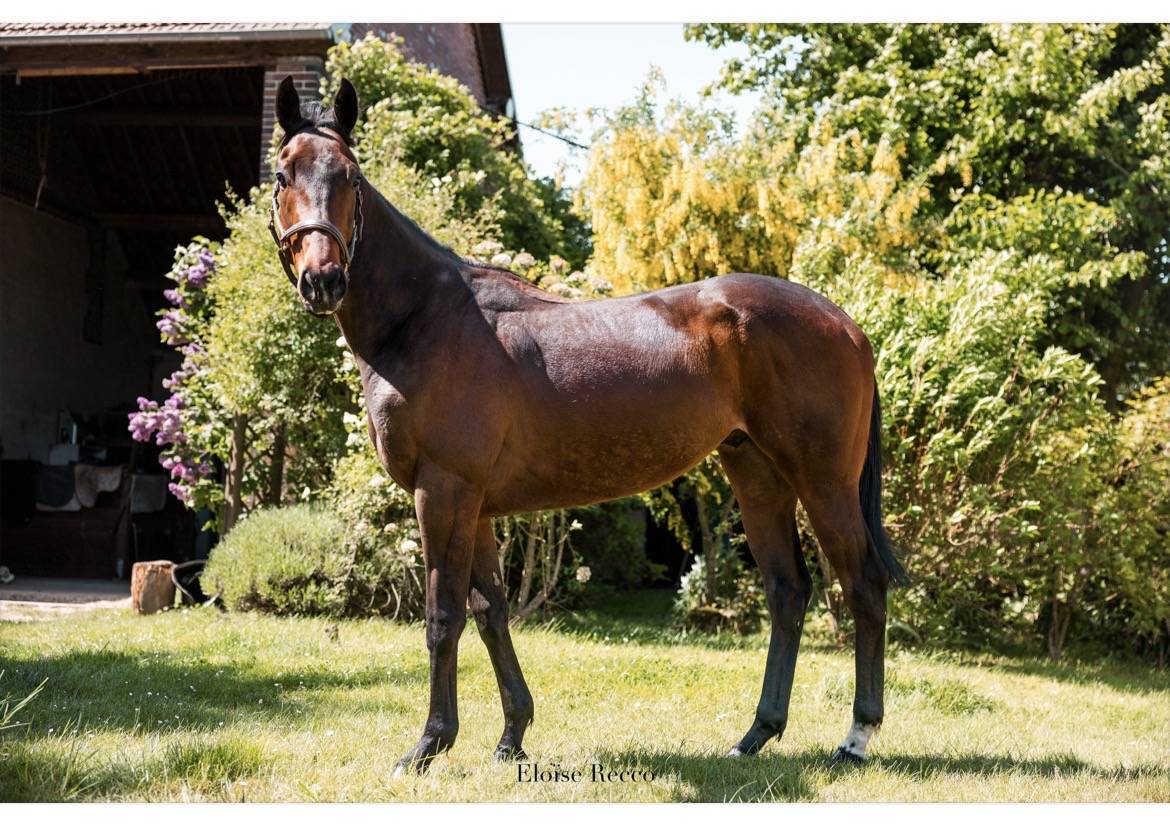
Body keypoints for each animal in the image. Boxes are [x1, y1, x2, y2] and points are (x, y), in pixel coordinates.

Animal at [267, 76, 908, 775]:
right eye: (282, 175)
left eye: (351, 176)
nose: (323, 280)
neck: (426, 319)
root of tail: (846, 324)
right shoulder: (475, 504)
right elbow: (490, 612)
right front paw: (511, 737)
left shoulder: (442, 491)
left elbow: (442, 615)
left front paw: (429, 745)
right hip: (758, 473)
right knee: (787, 592)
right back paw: (755, 736)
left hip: (823, 482)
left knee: (863, 585)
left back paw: (857, 735)